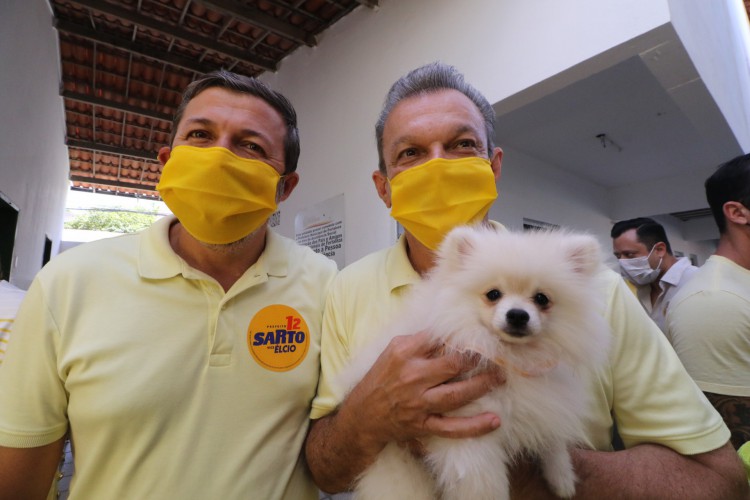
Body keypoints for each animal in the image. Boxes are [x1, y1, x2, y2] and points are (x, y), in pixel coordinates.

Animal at [338, 226, 612, 500]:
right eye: (493, 294)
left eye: (541, 299)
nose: (517, 315)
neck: (510, 356)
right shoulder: (469, 429)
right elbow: (484, 484)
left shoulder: (545, 403)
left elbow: (552, 438)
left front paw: (562, 477)